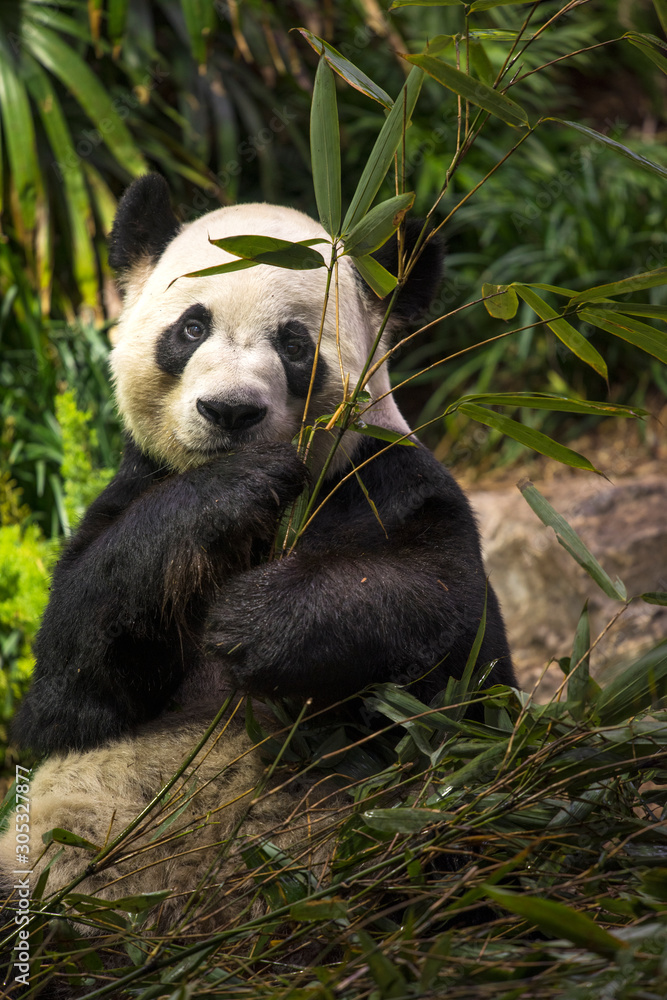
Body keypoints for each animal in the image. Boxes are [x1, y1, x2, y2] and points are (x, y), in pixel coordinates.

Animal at [0, 175, 514, 984]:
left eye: (294, 344)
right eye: (190, 329)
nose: (230, 411)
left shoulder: (391, 482)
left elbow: (439, 614)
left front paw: (252, 623)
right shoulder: (132, 490)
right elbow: (69, 679)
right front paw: (230, 491)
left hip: (388, 834)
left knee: (450, 856)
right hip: (56, 862)